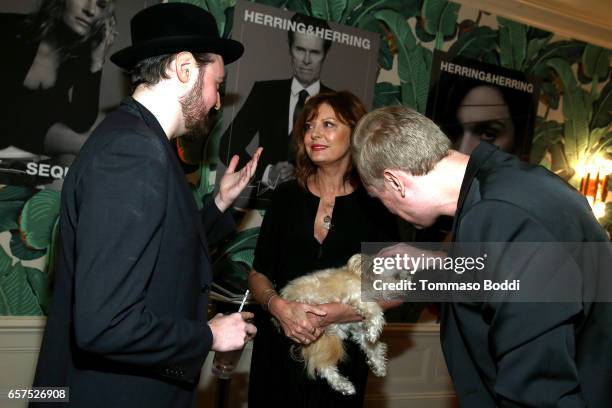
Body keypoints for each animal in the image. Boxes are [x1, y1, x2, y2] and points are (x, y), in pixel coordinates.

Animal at [276, 255, 388, 396]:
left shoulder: (359, 330)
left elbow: (373, 348)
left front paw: (379, 366)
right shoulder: (358, 297)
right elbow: (375, 313)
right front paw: (374, 332)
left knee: (325, 367)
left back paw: (345, 387)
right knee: (324, 366)